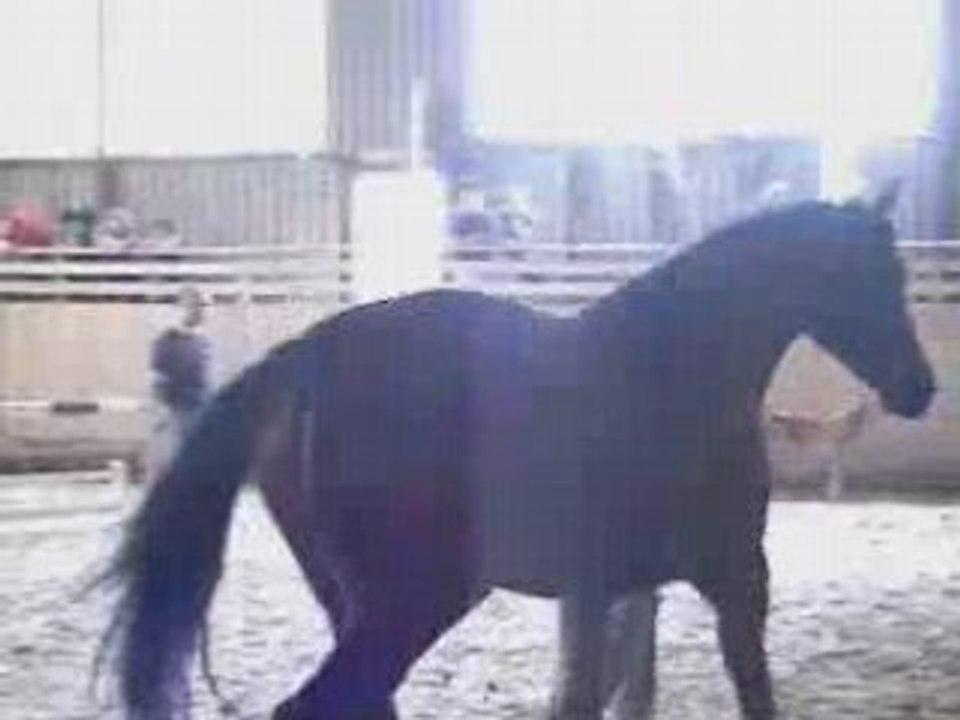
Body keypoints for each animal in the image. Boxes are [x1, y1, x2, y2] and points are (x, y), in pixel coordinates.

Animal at [97, 182, 934, 720]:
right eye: (871, 274)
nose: (921, 390)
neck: (674, 366)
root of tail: (309, 359)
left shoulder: (615, 590)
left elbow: (595, 697)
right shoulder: (734, 576)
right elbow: (750, 693)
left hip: (356, 598)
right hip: (418, 596)